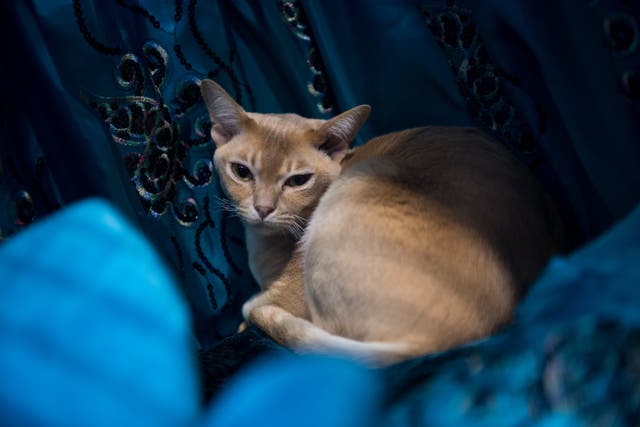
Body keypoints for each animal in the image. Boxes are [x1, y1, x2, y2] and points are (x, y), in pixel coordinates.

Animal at [201, 80, 564, 368]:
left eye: (298, 180)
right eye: (242, 172)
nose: (263, 209)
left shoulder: (288, 290)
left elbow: (262, 308)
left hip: (358, 185)